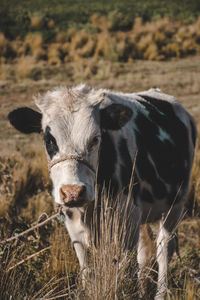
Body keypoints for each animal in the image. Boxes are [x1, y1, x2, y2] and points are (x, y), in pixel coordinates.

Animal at [8, 85, 197, 300]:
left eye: (95, 139)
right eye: (49, 140)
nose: (73, 192)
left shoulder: (126, 221)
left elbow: (123, 269)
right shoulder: (74, 223)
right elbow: (87, 267)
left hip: (175, 206)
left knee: (163, 249)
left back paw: (160, 293)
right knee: (143, 251)